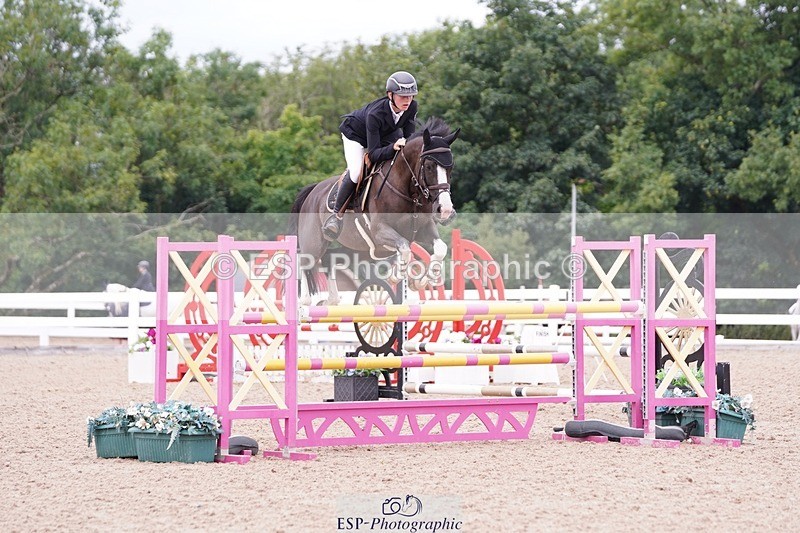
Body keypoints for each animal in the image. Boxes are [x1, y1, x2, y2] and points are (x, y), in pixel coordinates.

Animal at [290, 117, 459, 304]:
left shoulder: (423, 228)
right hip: (314, 242)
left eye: (450, 167)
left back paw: (332, 299)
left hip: (356, 249)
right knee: (305, 261)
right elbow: (404, 248)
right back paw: (305, 301)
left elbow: (440, 248)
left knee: (329, 259)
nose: (445, 210)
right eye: (429, 166)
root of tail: (313, 191)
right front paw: (395, 277)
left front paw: (419, 281)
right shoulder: (379, 230)